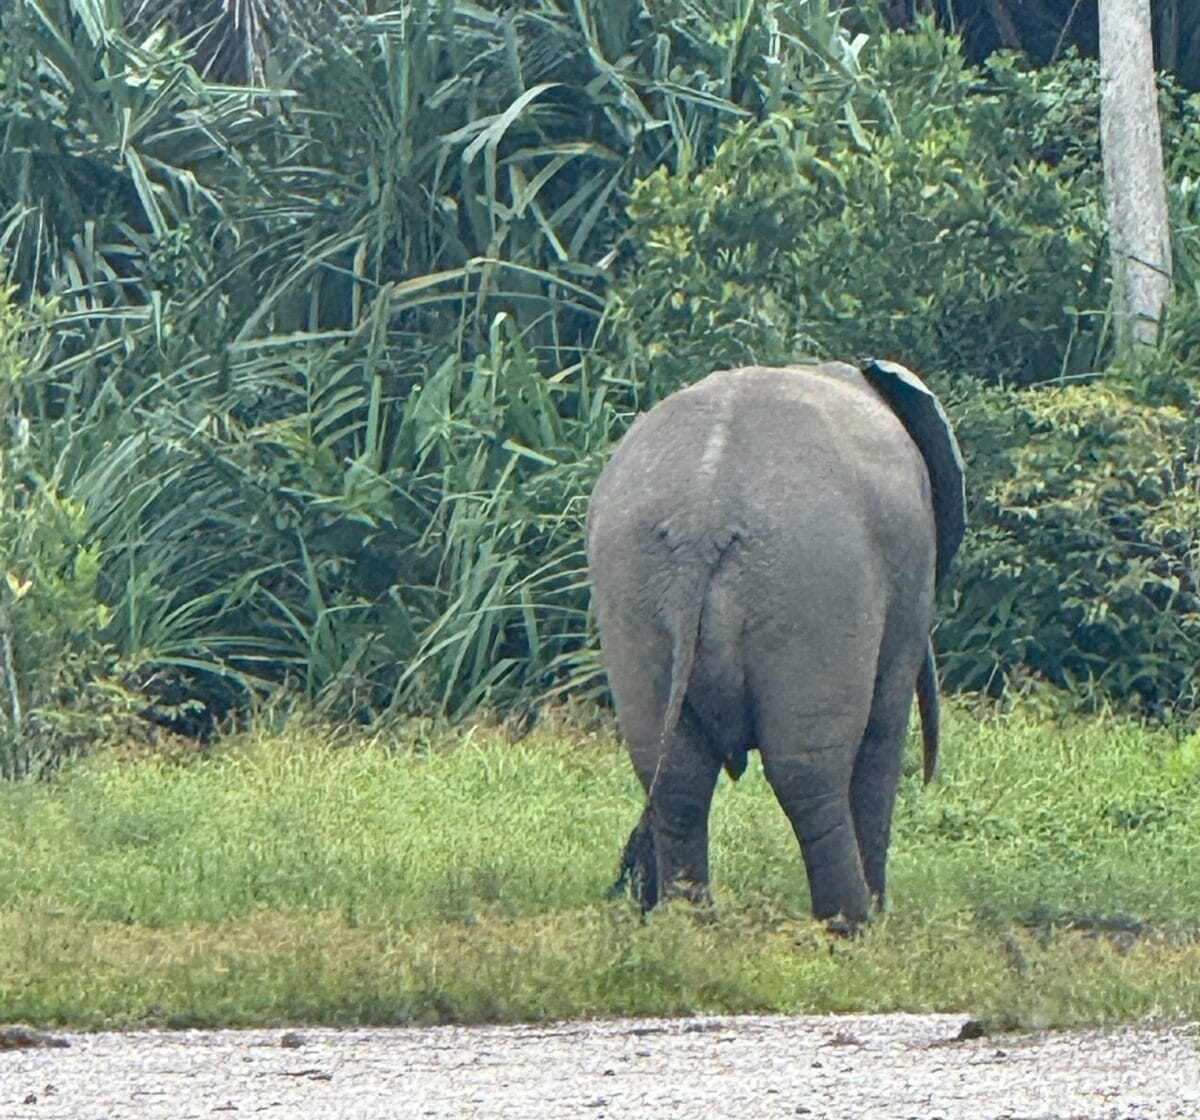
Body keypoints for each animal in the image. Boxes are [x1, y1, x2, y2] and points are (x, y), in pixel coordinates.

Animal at [586, 360, 965, 924]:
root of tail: (704, 518)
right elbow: (884, 728)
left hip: (631, 584)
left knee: (673, 772)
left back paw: (686, 928)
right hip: (813, 584)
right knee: (808, 772)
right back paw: (853, 927)